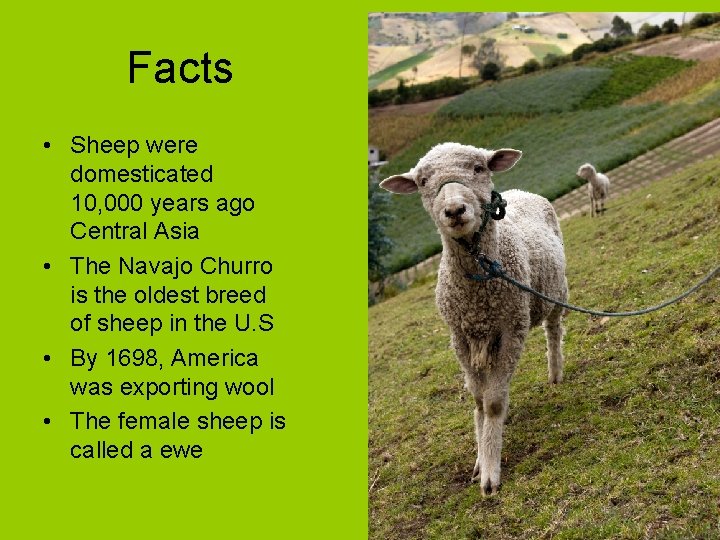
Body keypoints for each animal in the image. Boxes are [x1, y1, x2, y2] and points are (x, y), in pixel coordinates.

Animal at [380, 142, 568, 496]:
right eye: (423, 181)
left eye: (479, 169)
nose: (454, 210)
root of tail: (521, 191)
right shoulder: (460, 338)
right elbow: (479, 400)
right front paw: (482, 453)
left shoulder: (512, 328)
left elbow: (492, 402)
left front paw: (490, 475)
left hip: (556, 292)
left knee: (553, 330)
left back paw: (555, 373)